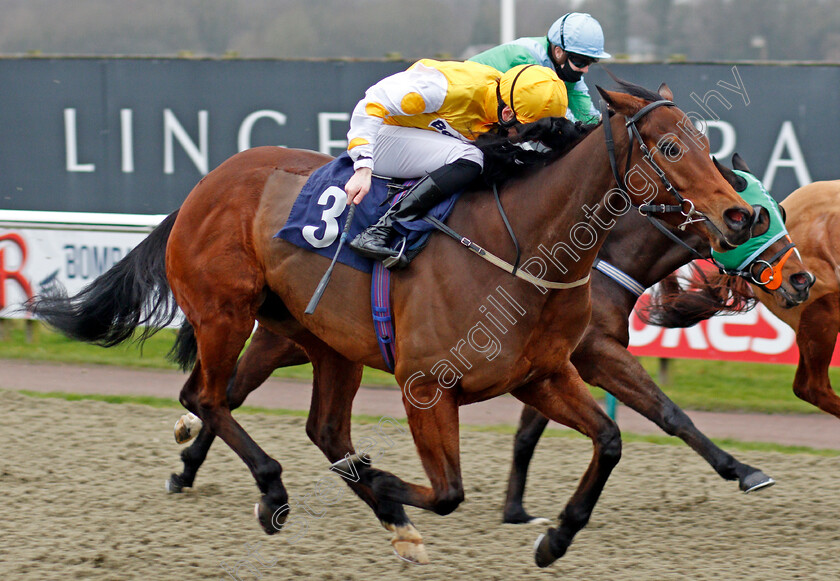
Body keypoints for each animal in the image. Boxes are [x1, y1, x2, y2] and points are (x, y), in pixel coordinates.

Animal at [31, 78, 756, 568]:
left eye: (709, 145)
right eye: (671, 146)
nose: (739, 215)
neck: (523, 246)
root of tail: (204, 186)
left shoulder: (544, 372)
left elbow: (610, 438)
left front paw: (553, 536)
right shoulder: (426, 386)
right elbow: (449, 490)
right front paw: (387, 484)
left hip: (321, 338)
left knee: (312, 424)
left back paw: (372, 507)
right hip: (225, 312)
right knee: (208, 395)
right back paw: (274, 487)